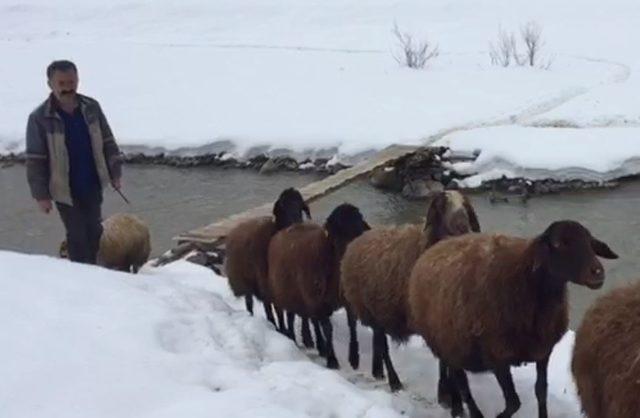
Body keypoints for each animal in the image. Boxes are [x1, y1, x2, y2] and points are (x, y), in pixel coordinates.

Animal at [224, 188, 312, 332]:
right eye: (283, 206)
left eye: (300, 206)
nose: (296, 224)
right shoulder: (271, 287)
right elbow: (279, 313)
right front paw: (284, 331)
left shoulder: (285, 288)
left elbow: (290, 315)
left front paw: (289, 331)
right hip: (247, 282)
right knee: (252, 304)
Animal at [268, 203, 370, 370]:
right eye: (336, 233)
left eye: (359, 228)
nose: (349, 255)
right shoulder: (318, 302)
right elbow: (328, 330)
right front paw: (332, 360)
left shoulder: (345, 300)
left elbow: (352, 325)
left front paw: (354, 358)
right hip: (291, 294)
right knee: (291, 317)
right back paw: (293, 338)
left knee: (312, 320)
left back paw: (320, 346)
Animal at [342, 191, 478, 390]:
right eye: (442, 204)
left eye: (465, 204)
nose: (462, 226)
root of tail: (357, 240)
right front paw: (448, 391)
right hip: (368, 307)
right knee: (382, 346)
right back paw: (394, 381)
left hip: (377, 311)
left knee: (377, 341)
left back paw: (378, 371)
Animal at [408, 220, 616, 416]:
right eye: (559, 244)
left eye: (589, 241)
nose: (598, 272)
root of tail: (436, 247)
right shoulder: (498, 356)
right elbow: (514, 402)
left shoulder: (543, 351)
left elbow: (541, 391)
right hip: (449, 342)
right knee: (461, 382)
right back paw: (465, 408)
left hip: (449, 338)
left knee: (452, 372)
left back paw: (454, 403)